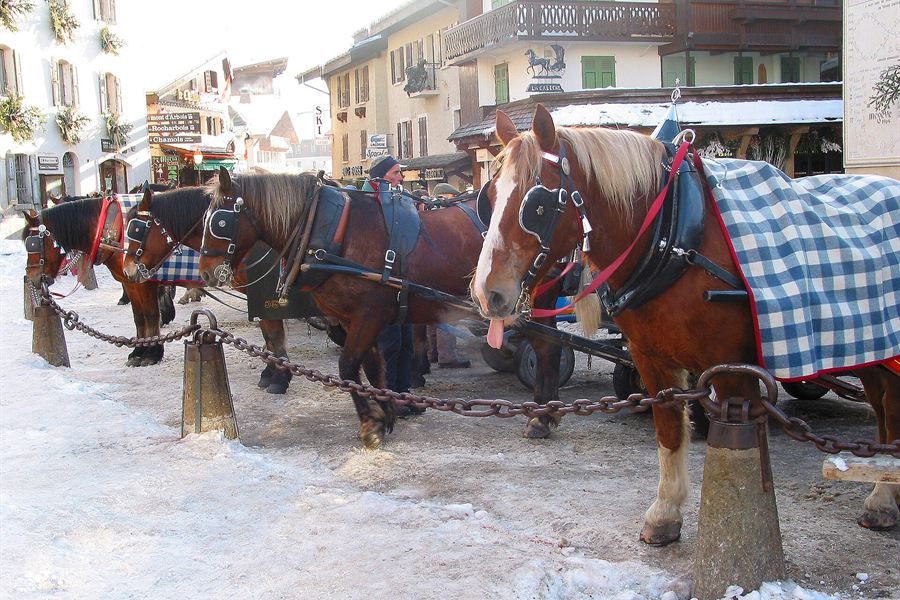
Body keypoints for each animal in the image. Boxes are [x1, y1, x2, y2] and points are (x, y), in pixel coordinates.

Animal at [22, 197, 175, 366]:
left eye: (32, 244)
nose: (31, 275)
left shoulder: (143, 282)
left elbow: (151, 314)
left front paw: (153, 353)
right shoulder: (130, 282)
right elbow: (139, 316)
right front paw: (138, 351)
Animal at [120, 186, 293, 394]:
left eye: (136, 229)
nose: (127, 270)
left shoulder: (265, 299)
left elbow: (274, 335)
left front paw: (280, 377)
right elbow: (268, 336)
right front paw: (270, 371)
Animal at [196, 171, 567, 449]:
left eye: (219, 222)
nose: (204, 272)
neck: (333, 231)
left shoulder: (368, 316)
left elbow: (348, 367)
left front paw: (370, 423)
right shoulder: (353, 320)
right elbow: (374, 368)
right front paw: (386, 413)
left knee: (547, 349)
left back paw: (542, 416)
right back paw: (544, 411)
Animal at [471, 105, 900, 542]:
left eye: (537, 206)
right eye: (490, 195)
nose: (488, 293)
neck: (670, 233)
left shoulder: (732, 369)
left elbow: (737, 445)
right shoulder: (650, 356)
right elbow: (669, 430)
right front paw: (665, 513)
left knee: (891, 411)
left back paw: (882, 499)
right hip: (870, 346)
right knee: (882, 408)